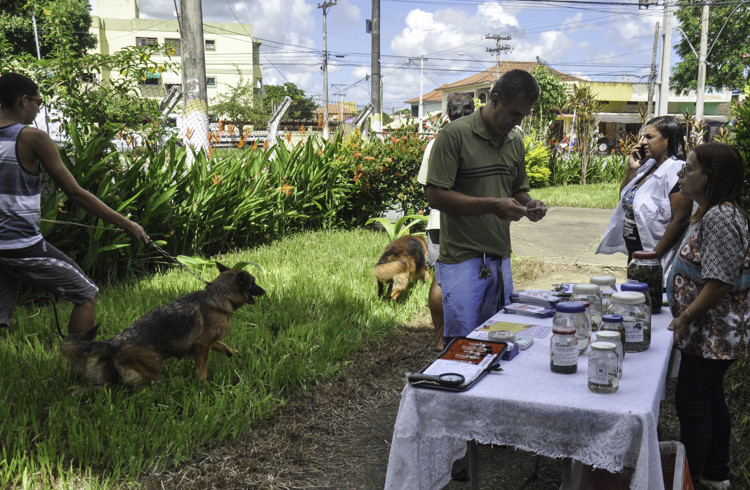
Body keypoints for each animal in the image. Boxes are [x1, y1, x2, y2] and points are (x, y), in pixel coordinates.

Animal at [61, 264, 268, 386]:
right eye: (254, 282)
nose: (264, 291)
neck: (220, 295)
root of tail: (112, 343)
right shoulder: (203, 346)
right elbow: (202, 368)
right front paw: (202, 384)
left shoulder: (208, 342)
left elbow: (224, 346)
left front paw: (234, 353)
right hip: (152, 367)